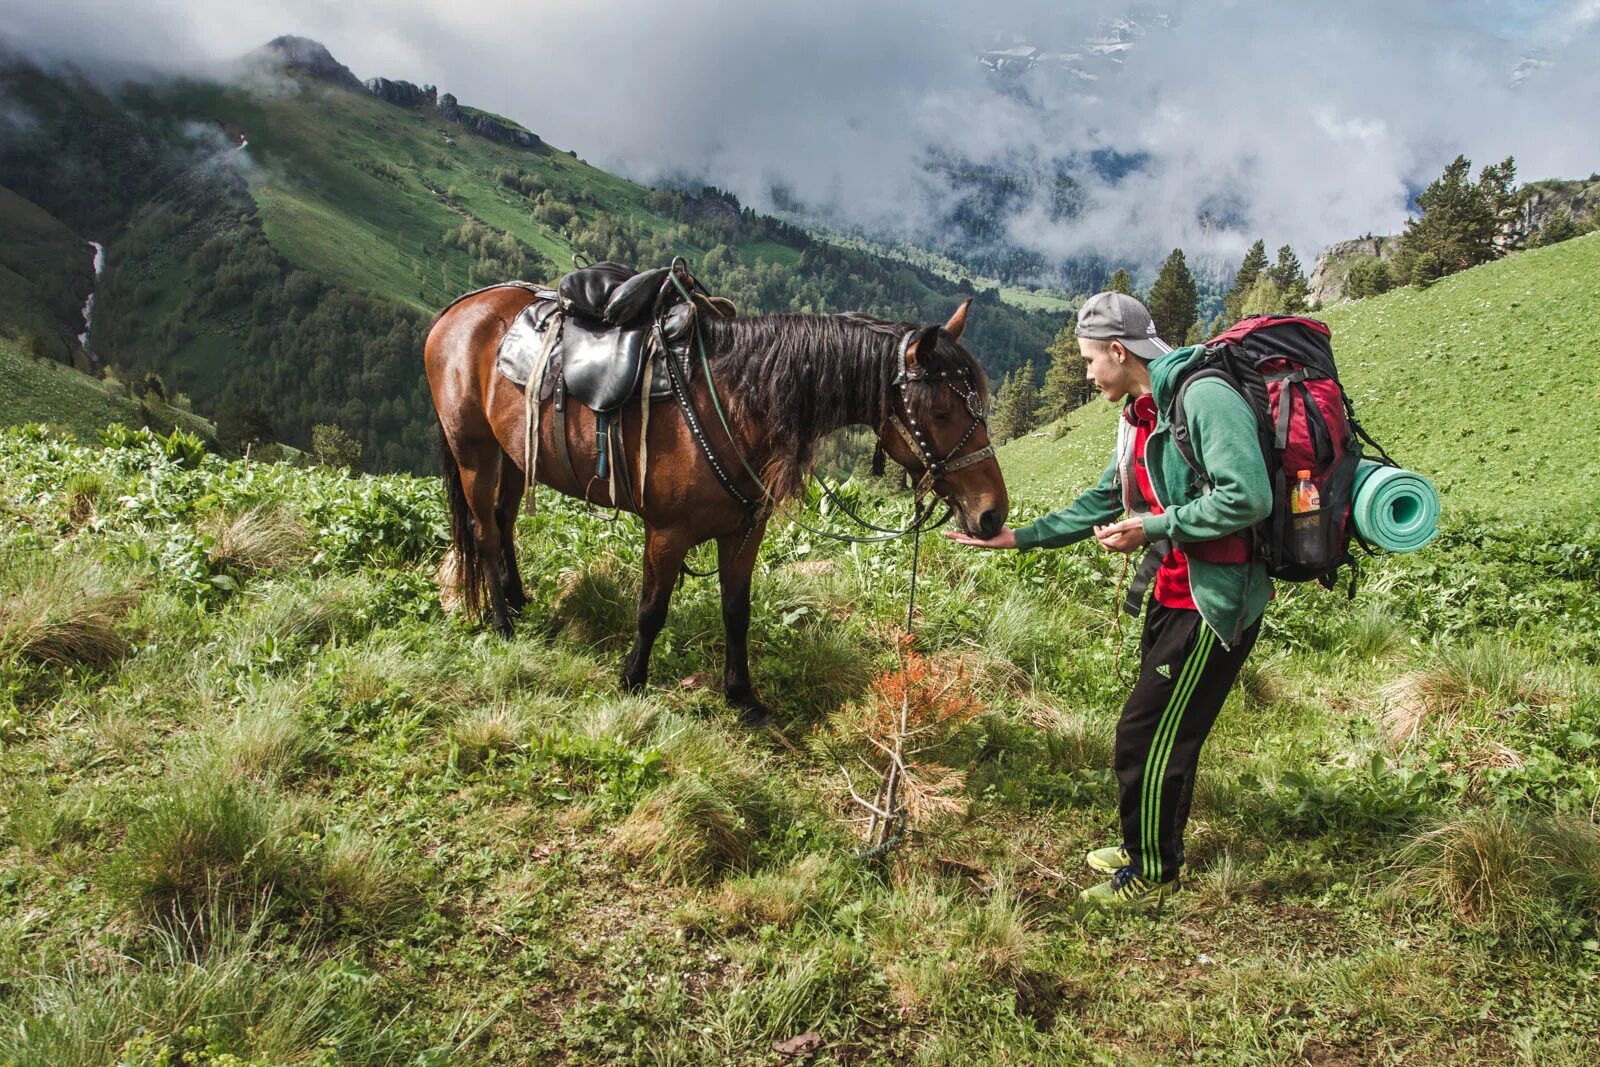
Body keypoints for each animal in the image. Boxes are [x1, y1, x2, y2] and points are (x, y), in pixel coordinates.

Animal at [422, 286, 998, 726]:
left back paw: (519, 600)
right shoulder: (666, 533)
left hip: (514, 453)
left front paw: (743, 697)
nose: (992, 513)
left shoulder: (743, 533)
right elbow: (651, 611)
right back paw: (502, 622)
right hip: (474, 451)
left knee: (504, 522)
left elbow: (736, 612)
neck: (736, 404)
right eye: (941, 412)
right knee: (484, 531)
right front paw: (632, 681)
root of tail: (459, 309)